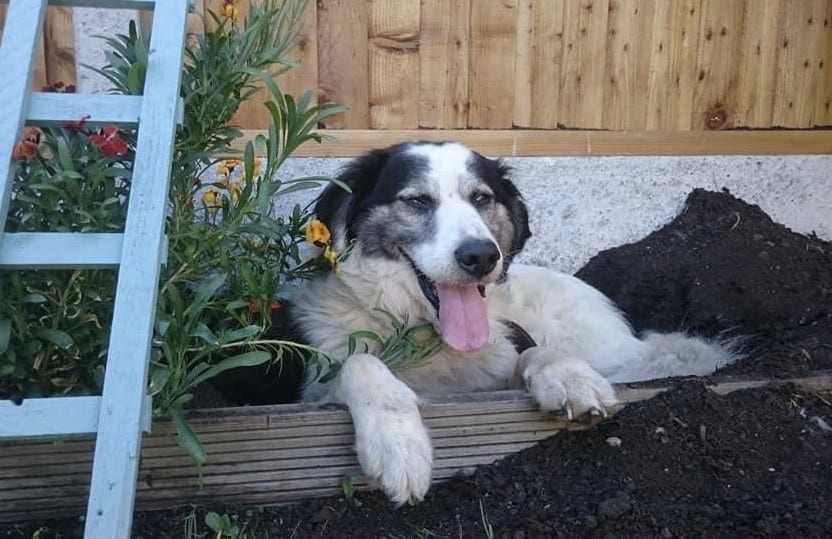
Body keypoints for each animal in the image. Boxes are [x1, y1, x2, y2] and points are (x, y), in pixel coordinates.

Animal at [290, 140, 736, 506]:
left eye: (481, 198)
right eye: (416, 201)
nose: (481, 256)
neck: (422, 332)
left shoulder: (502, 364)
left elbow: (534, 352)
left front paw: (569, 378)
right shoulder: (316, 390)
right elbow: (360, 362)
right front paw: (396, 441)